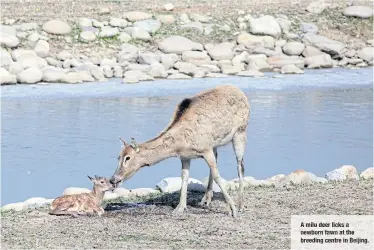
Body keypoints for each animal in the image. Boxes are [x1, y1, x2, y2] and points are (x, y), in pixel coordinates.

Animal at [111, 85, 251, 218]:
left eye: (128, 158)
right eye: (118, 156)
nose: (113, 179)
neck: (180, 145)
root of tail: (241, 93)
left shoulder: (205, 149)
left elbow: (217, 175)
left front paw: (232, 210)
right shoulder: (185, 156)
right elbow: (184, 177)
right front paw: (180, 208)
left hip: (240, 131)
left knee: (240, 165)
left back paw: (241, 205)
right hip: (216, 144)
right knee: (218, 159)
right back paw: (205, 200)